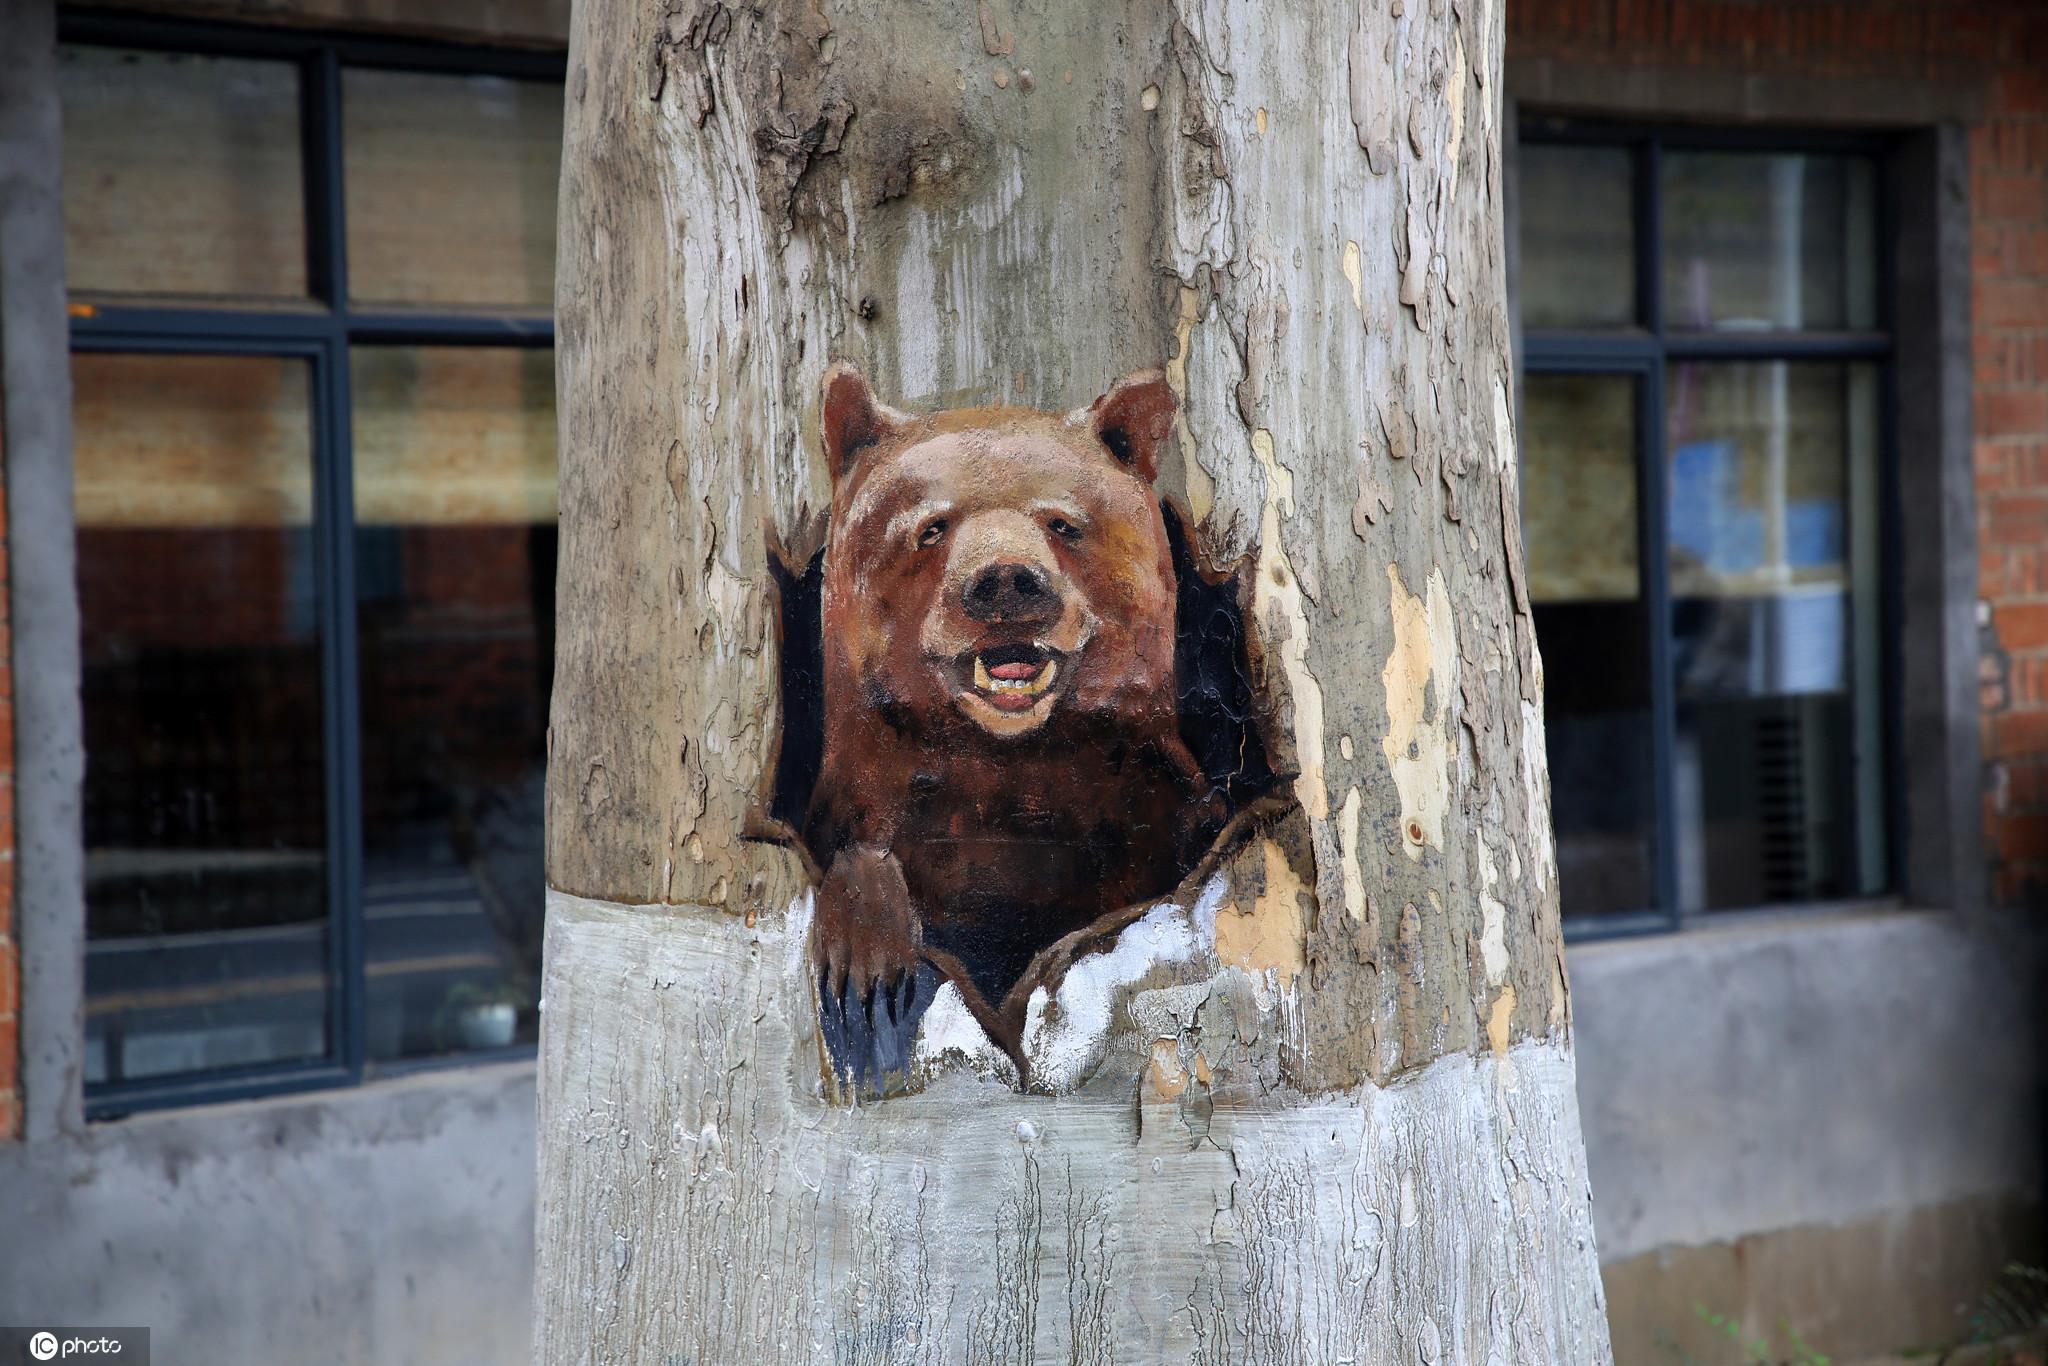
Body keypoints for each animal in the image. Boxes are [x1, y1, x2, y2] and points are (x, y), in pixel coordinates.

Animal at [794, 360, 1212, 1089]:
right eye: (932, 527)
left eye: (1063, 523)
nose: (1007, 583)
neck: (1005, 763)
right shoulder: (877, 788)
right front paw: (864, 960)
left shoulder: (1143, 806)